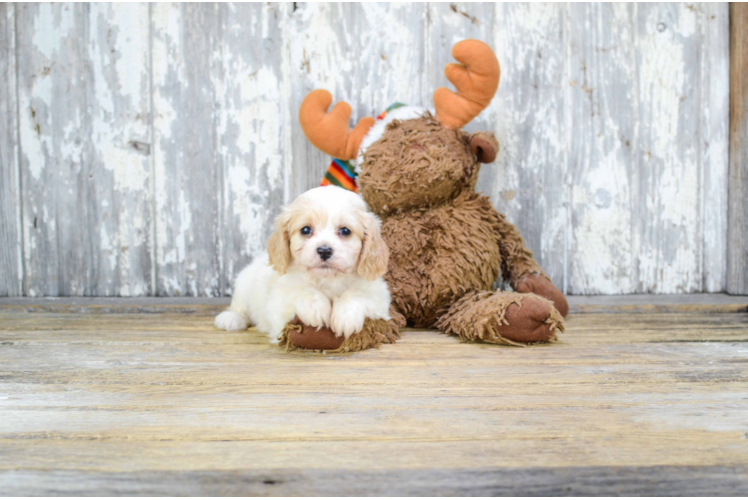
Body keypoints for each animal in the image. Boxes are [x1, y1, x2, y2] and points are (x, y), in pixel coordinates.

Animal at [215, 186, 392, 342]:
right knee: (239, 307)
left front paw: (346, 316)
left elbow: (356, 293)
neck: (327, 279)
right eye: (305, 230)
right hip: (243, 285)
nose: (324, 250)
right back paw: (231, 319)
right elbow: (301, 289)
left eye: (345, 231)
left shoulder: (379, 295)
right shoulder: (278, 302)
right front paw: (316, 308)